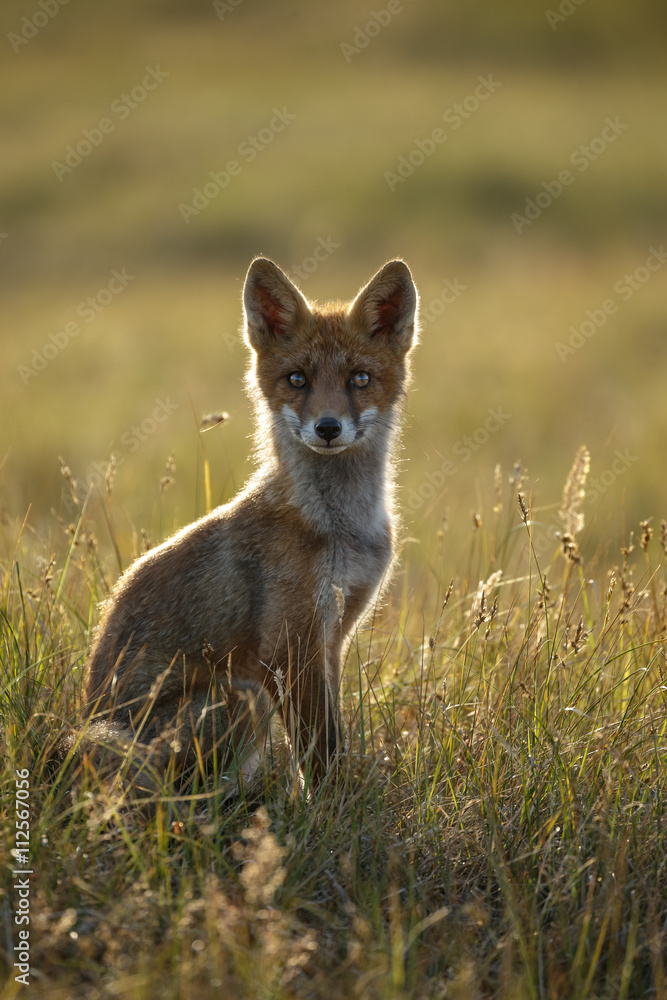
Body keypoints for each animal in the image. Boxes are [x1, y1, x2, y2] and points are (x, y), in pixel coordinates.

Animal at [66, 257, 419, 793]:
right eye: (297, 379)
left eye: (359, 378)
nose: (328, 428)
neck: (340, 526)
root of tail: (87, 721)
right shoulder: (289, 644)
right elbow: (320, 748)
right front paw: (330, 803)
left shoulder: (333, 637)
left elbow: (334, 733)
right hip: (243, 699)